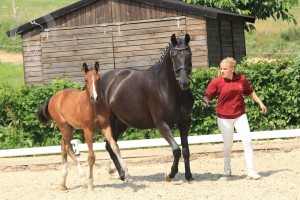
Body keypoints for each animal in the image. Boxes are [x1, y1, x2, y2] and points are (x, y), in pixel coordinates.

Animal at [99, 33, 195, 181]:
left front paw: (188, 175)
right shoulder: (161, 124)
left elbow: (185, 150)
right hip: (109, 122)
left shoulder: (185, 122)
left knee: (110, 146)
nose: (183, 82)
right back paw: (124, 175)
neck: (168, 88)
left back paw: (123, 175)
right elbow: (176, 150)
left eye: (189, 54)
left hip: (121, 123)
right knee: (111, 145)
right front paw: (170, 174)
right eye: (173, 56)